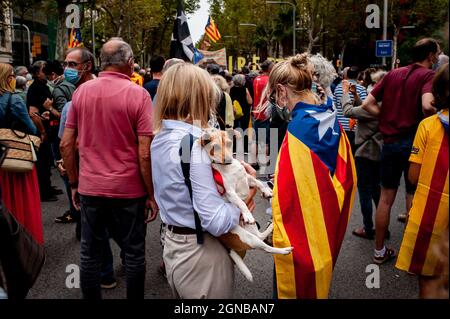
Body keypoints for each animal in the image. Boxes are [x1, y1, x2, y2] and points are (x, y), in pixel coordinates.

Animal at [200, 127, 292, 282]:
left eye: (229, 143)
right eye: (215, 147)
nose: (228, 160)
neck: (229, 169)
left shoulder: (247, 178)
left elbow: (258, 182)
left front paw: (266, 191)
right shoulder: (230, 193)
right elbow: (241, 203)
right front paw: (247, 214)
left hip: (251, 229)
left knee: (261, 236)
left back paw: (272, 225)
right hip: (246, 237)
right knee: (264, 247)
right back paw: (283, 250)